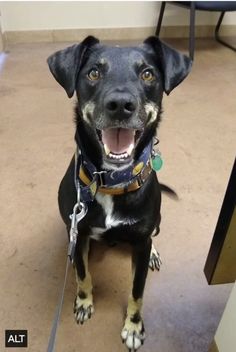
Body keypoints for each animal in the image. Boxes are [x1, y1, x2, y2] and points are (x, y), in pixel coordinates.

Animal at [47, 37, 192, 350]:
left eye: (148, 74)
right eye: (93, 72)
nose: (120, 105)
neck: (110, 180)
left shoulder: (140, 241)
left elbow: (137, 292)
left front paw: (134, 327)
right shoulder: (78, 232)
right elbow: (82, 274)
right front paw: (84, 301)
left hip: (155, 225)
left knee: (153, 237)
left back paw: (154, 253)